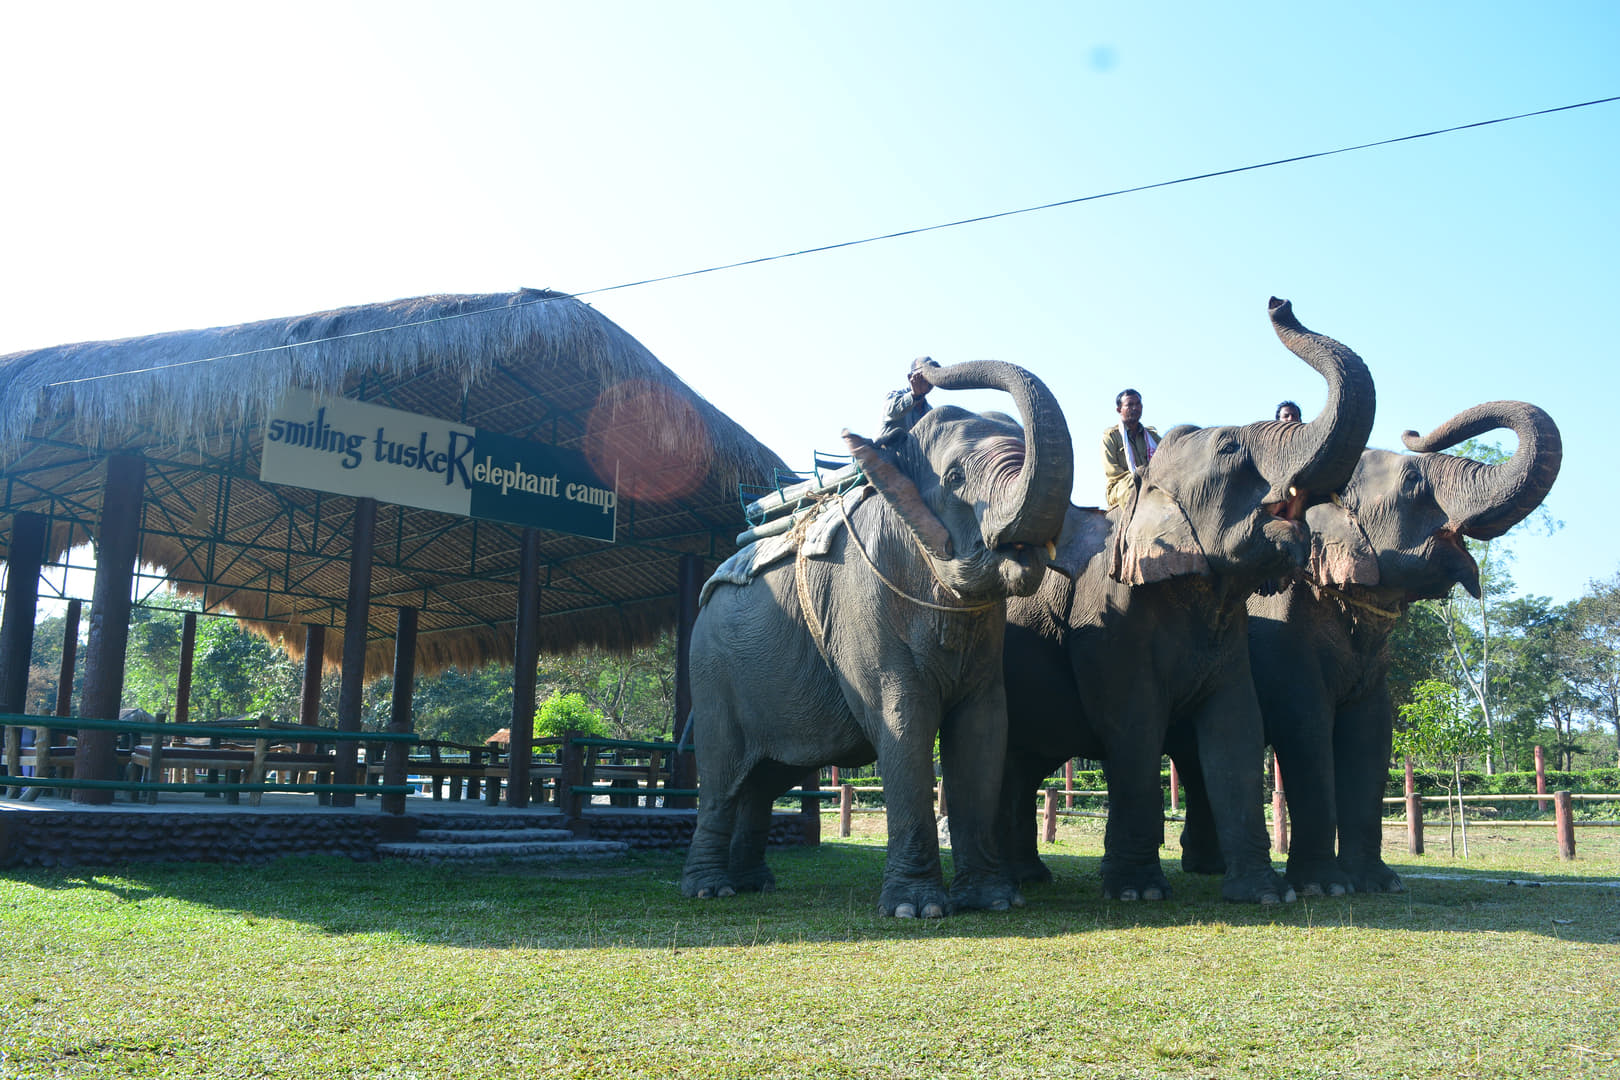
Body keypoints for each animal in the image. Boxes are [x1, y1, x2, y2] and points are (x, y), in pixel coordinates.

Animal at [679, 358, 1074, 917]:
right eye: (955, 477)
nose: (923, 369)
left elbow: (984, 727)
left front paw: (994, 901)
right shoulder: (861, 601)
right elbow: (904, 717)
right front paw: (917, 910)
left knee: (767, 775)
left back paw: (755, 883)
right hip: (712, 670)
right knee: (722, 775)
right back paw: (711, 890)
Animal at [995, 298, 1375, 904]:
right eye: (1229, 448)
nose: (1279, 302)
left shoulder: (1232, 632)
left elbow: (1236, 730)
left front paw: (1265, 894)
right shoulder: (1110, 622)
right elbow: (1133, 725)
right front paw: (1138, 894)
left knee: (1021, 763)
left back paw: (1027, 876)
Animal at [1175, 400, 1561, 895]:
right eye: (1413, 481)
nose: (1414, 432)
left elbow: (1372, 732)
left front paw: (1379, 884)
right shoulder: (1281, 634)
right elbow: (1306, 727)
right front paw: (1324, 888)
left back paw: (1208, 866)